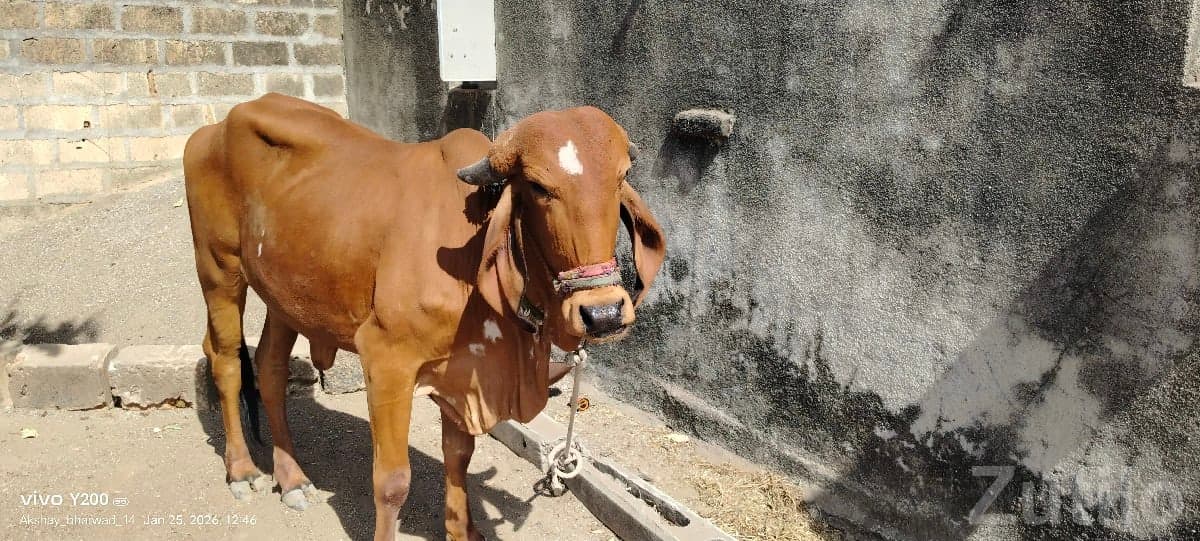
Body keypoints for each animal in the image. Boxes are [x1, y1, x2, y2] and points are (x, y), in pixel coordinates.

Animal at [182, 92, 666, 541]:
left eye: (622, 176)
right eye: (538, 186)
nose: (603, 313)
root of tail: (213, 128)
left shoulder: (462, 372)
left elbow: (459, 458)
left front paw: (462, 530)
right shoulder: (386, 359)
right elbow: (392, 481)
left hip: (285, 294)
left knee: (269, 366)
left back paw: (292, 479)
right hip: (219, 270)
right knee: (225, 360)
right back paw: (242, 471)